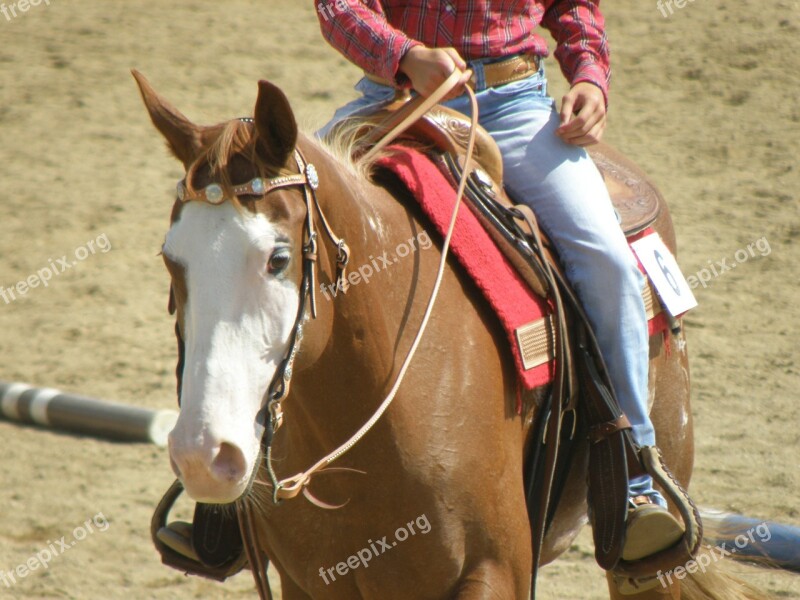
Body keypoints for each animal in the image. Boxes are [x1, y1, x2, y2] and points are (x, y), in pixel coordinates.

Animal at [134, 71, 764, 600]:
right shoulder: (308, 583)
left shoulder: (496, 572)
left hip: (655, 553)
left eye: (278, 258)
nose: (203, 457)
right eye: (170, 260)